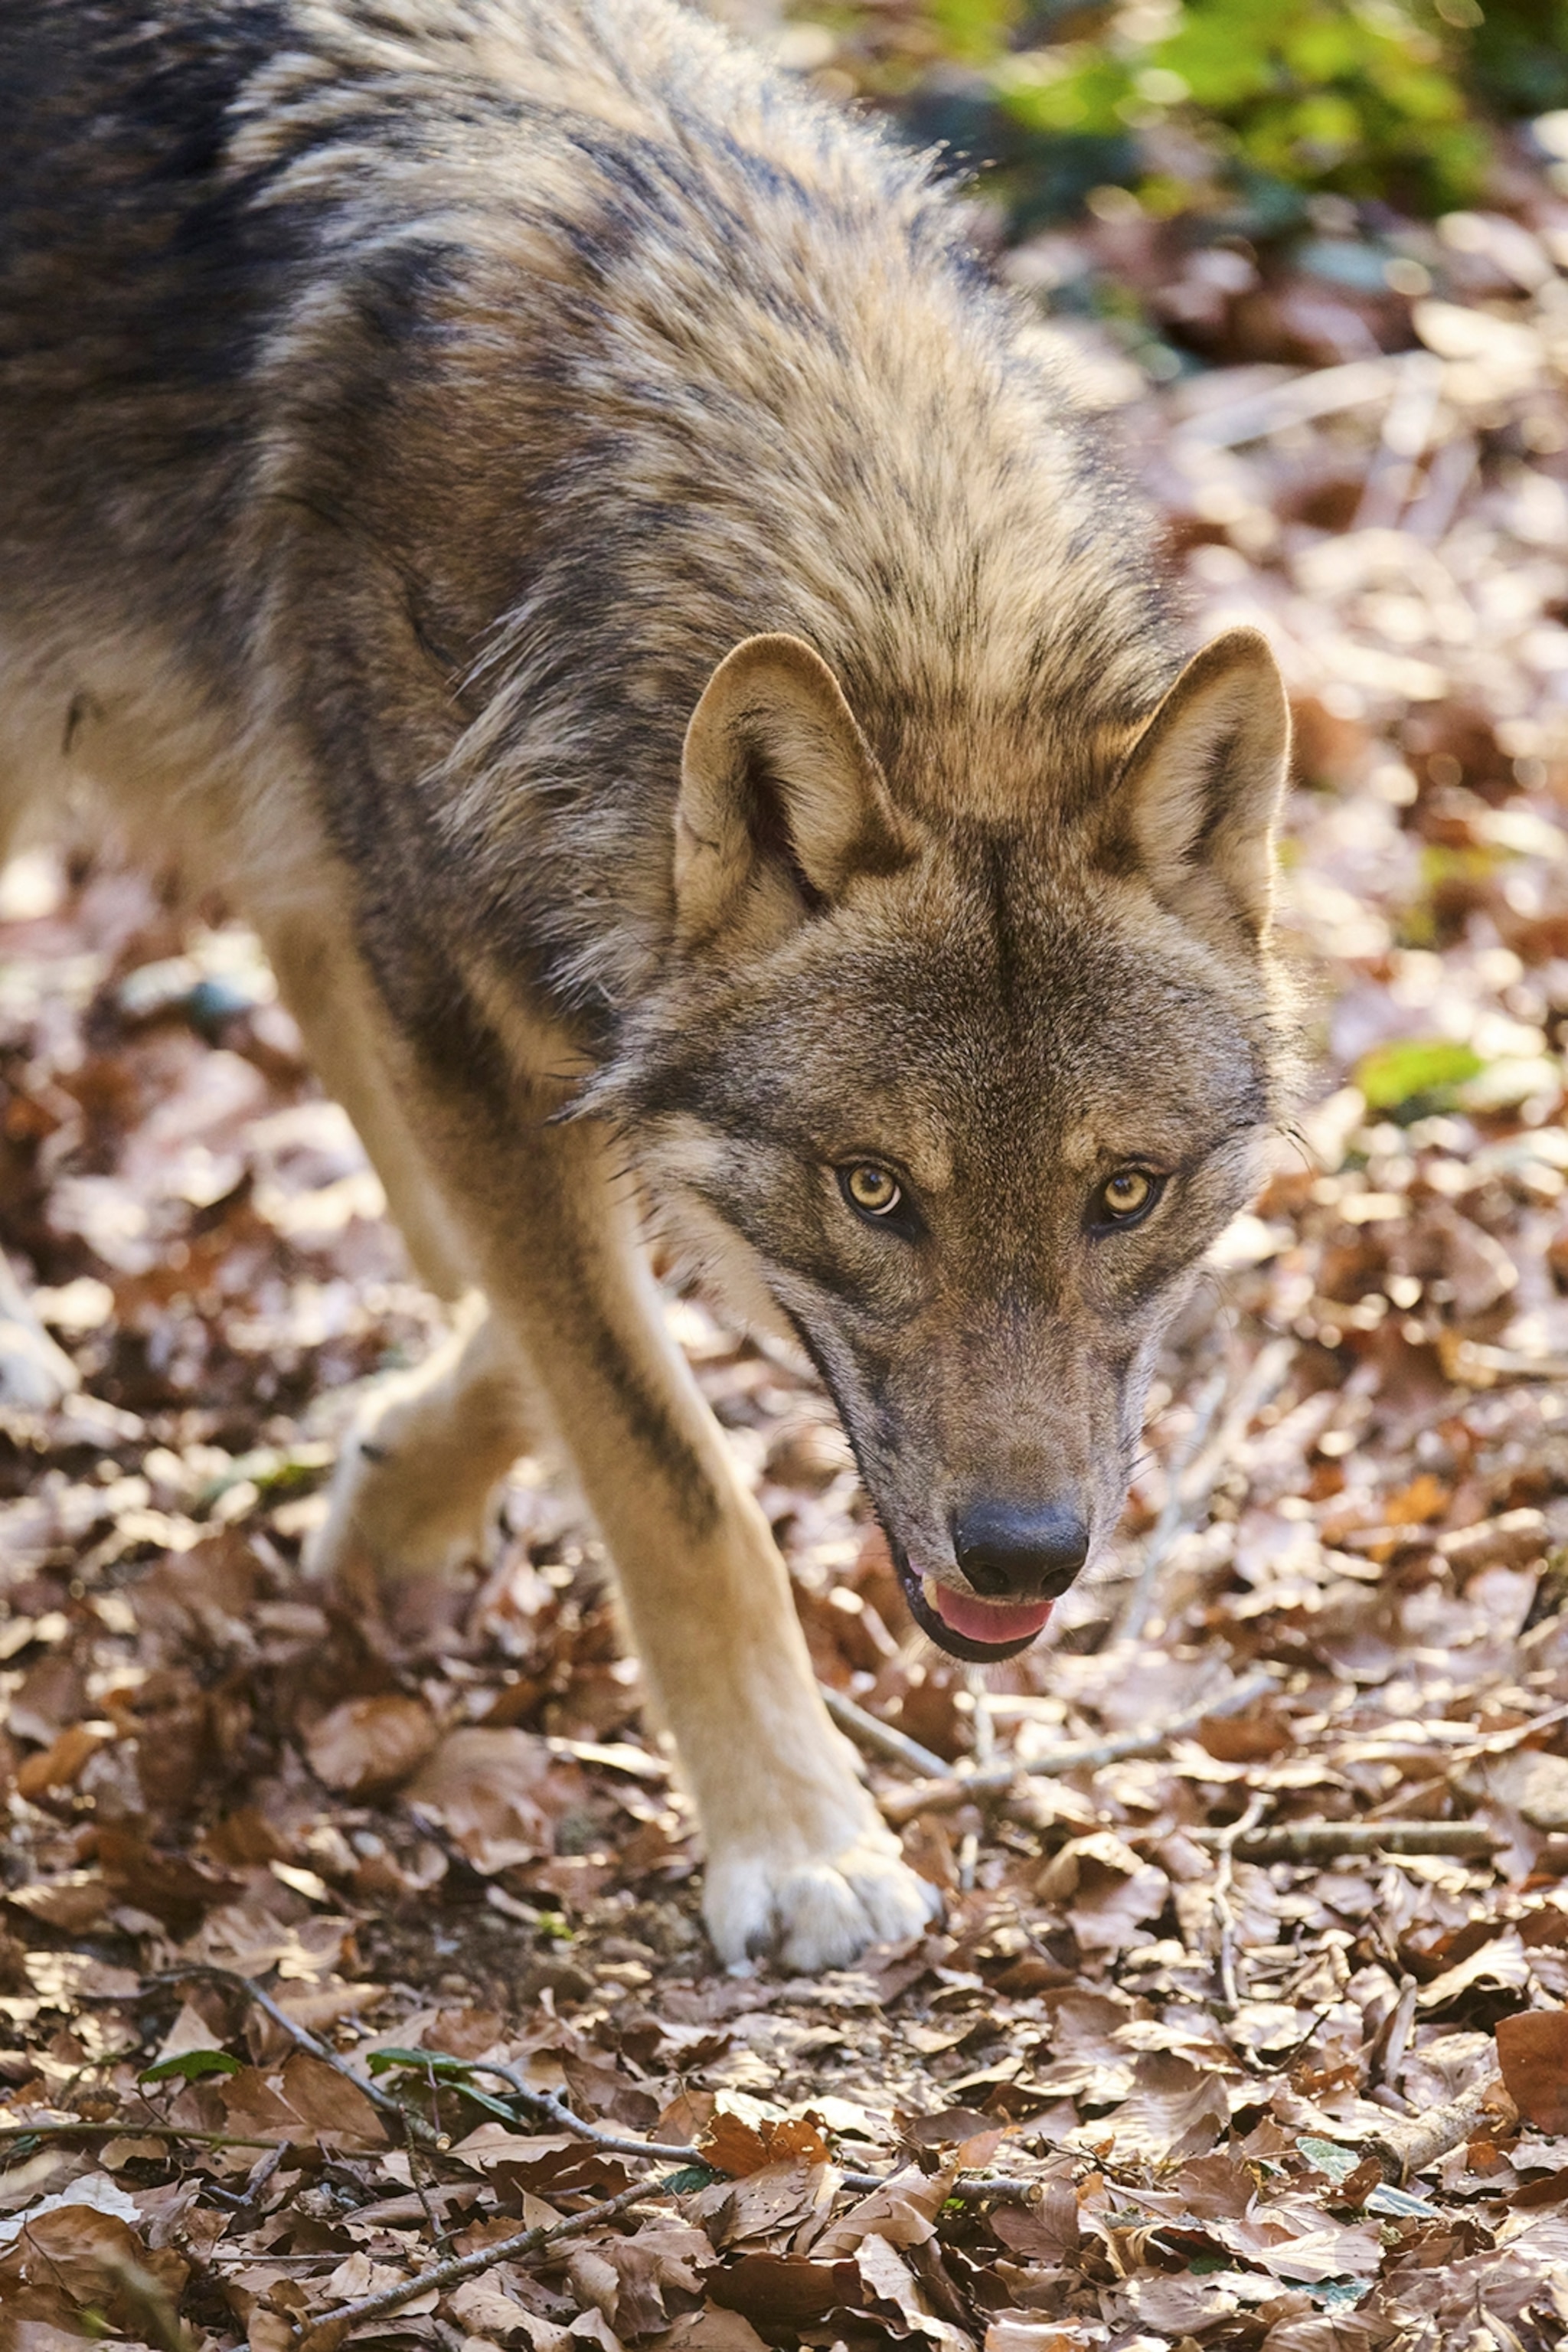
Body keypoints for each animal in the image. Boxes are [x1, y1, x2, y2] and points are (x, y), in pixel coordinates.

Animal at [0, 0, 1291, 1969]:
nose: (1023, 1555)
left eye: (1124, 1193)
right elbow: (664, 1455)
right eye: (873, 1190)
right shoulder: (446, 979)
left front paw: (394, 1475)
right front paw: (796, 1840)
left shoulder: (443, 955)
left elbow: (544, 1286)